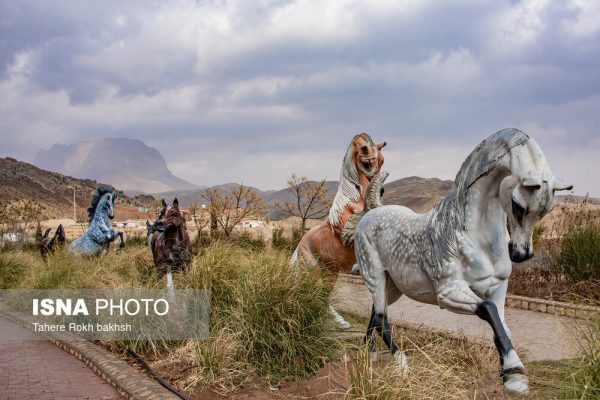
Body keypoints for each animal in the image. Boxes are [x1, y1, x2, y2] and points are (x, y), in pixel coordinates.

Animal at [354, 129, 576, 394]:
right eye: (517, 205)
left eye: (548, 209)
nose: (521, 254)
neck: (466, 232)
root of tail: (371, 214)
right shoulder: (450, 292)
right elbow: (488, 310)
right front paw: (515, 370)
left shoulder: (497, 288)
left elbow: (502, 326)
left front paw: (512, 376)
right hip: (375, 276)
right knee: (380, 318)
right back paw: (401, 364)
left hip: (394, 286)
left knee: (375, 315)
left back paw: (370, 357)